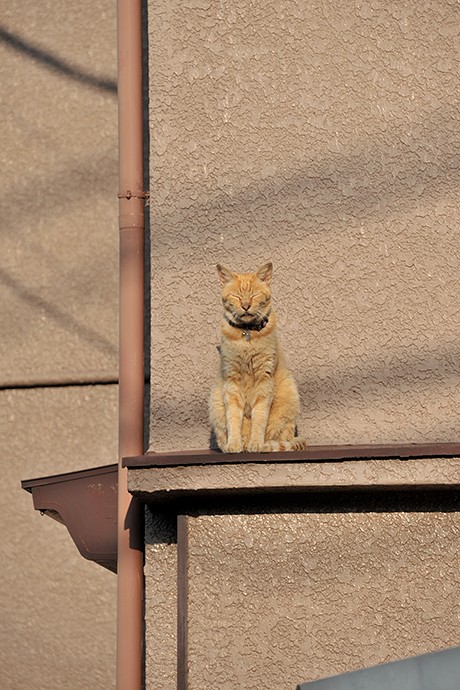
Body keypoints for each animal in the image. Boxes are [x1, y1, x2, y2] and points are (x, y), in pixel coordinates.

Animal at [210, 262, 308, 452]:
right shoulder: (231, 383)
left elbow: (260, 418)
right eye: (237, 296)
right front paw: (234, 444)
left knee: (284, 436)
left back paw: (262, 444)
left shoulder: (264, 380)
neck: (247, 335)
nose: (246, 305)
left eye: (254, 295)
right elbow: (233, 418)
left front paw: (256, 443)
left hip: (290, 395)